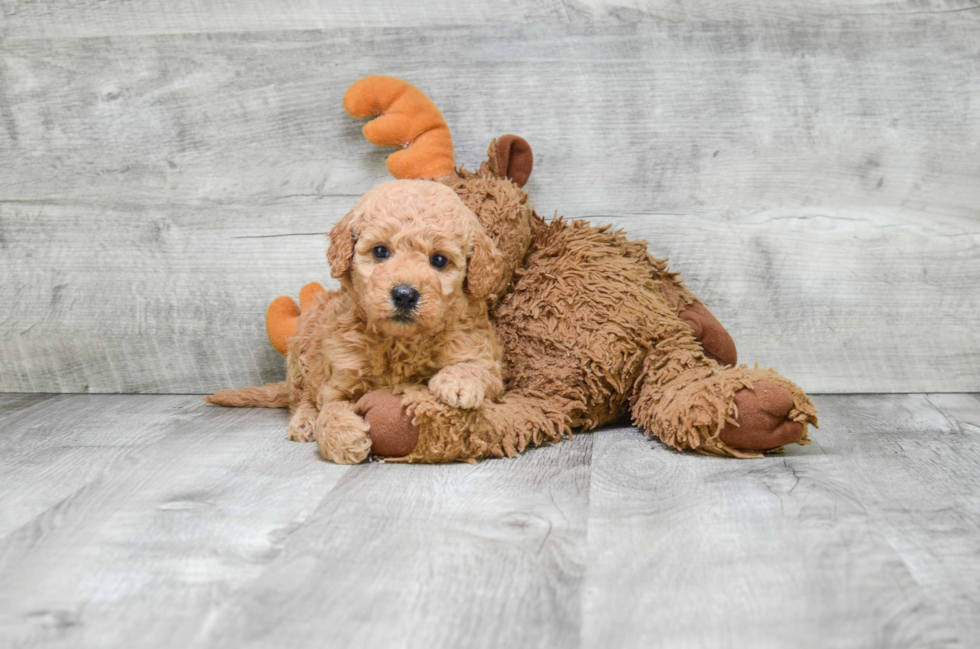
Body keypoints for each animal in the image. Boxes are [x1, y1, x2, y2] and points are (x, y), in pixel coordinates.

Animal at [209, 180, 506, 464]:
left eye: (440, 260)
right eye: (380, 252)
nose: (405, 295)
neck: (399, 342)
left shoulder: (487, 364)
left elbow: (476, 369)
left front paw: (458, 382)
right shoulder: (340, 378)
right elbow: (330, 408)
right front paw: (343, 438)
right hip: (303, 350)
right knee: (302, 398)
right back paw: (304, 422)